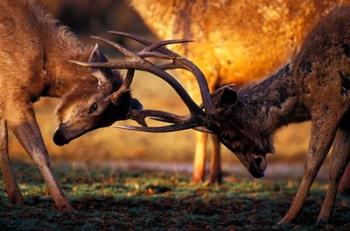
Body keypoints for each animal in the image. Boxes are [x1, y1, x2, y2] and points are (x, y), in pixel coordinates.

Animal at [0, 0, 145, 209]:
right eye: (94, 106)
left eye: (109, 121)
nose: (60, 138)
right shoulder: (14, 93)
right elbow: (39, 152)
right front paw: (65, 205)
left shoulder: (4, 98)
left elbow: (3, 145)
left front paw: (17, 198)